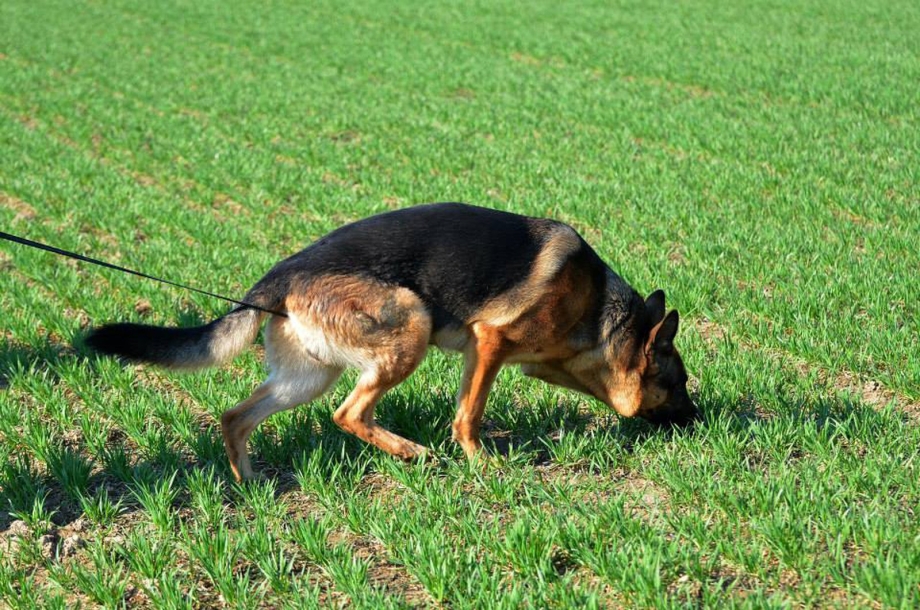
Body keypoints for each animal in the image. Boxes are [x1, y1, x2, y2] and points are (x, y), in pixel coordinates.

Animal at [88, 202, 696, 478]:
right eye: (679, 384)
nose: (700, 420)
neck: (602, 316)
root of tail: (285, 270)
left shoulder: (484, 355)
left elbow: (466, 405)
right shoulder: (490, 342)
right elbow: (470, 414)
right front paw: (482, 464)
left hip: (308, 376)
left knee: (236, 416)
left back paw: (250, 483)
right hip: (410, 324)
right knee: (348, 413)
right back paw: (410, 452)